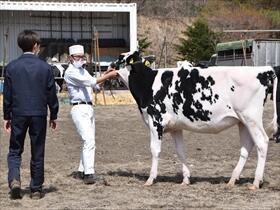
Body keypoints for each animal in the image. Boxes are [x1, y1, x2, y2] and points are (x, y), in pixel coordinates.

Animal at [115, 51, 278, 190]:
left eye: (120, 58)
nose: (110, 65)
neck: (147, 82)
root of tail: (265, 70)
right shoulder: (175, 127)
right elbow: (181, 151)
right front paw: (186, 179)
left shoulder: (155, 122)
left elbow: (155, 150)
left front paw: (150, 179)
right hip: (242, 121)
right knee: (246, 146)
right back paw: (232, 180)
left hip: (251, 118)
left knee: (262, 142)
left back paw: (255, 182)